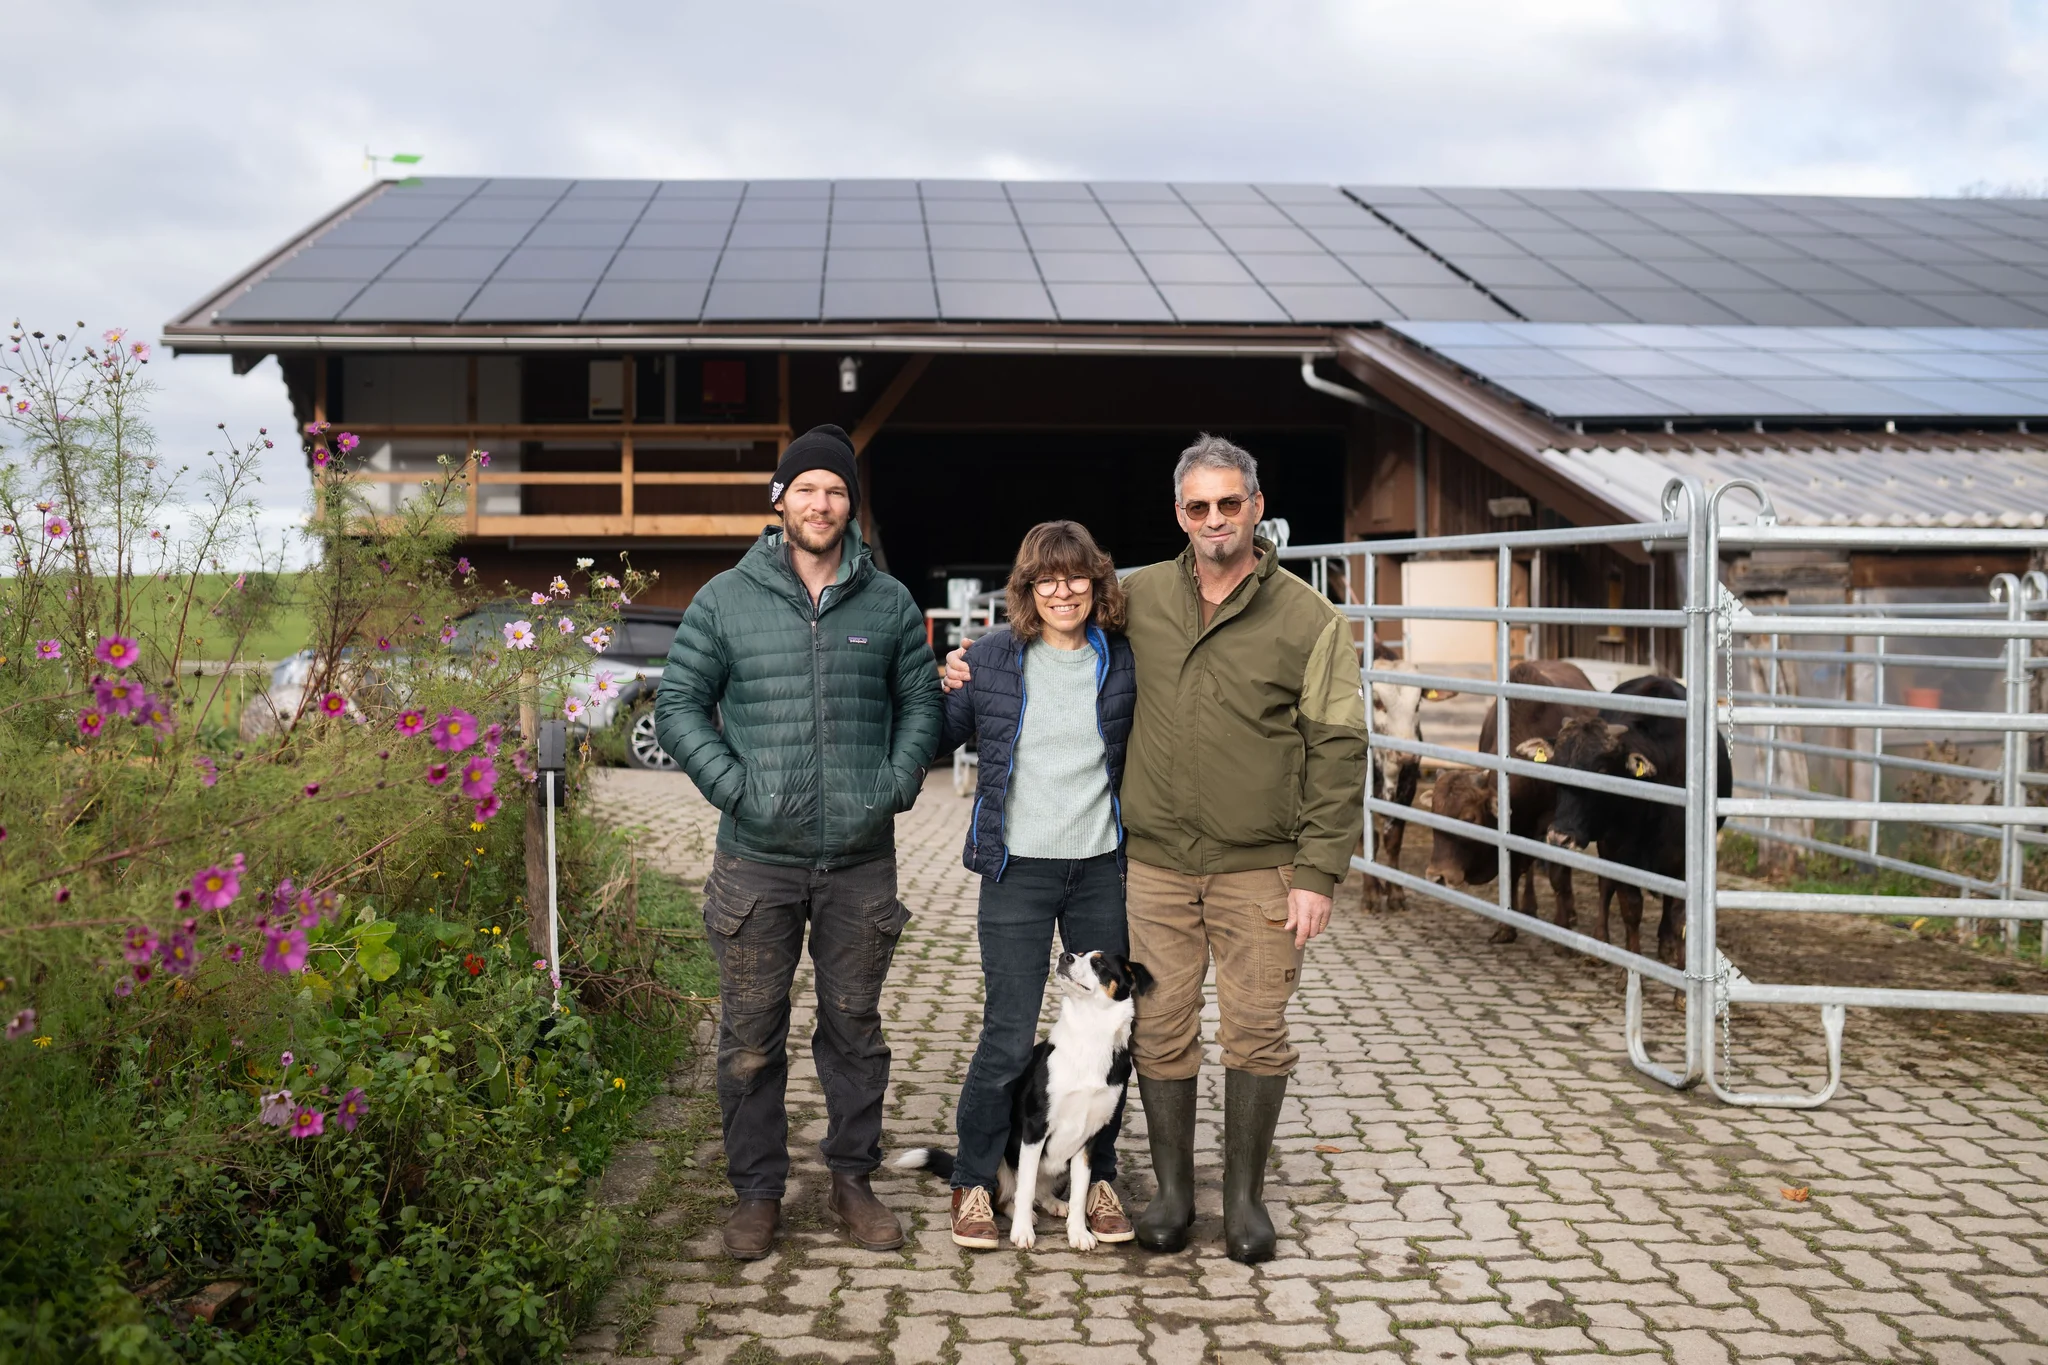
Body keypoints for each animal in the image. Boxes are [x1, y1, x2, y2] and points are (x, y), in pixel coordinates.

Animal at [894, 949, 1153, 1250]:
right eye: (1078, 954)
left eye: (1099, 963)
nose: (1064, 956)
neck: (1090, 1037)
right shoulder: (1034, 1128)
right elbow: (1025, 1188)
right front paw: (1022, 1231)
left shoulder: (1089, 1139)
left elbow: (1079, 1194)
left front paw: (1078, 1232)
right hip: (999, 1161)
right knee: (1006, 1197)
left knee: (1043, 1192)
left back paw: (1055, 1204)